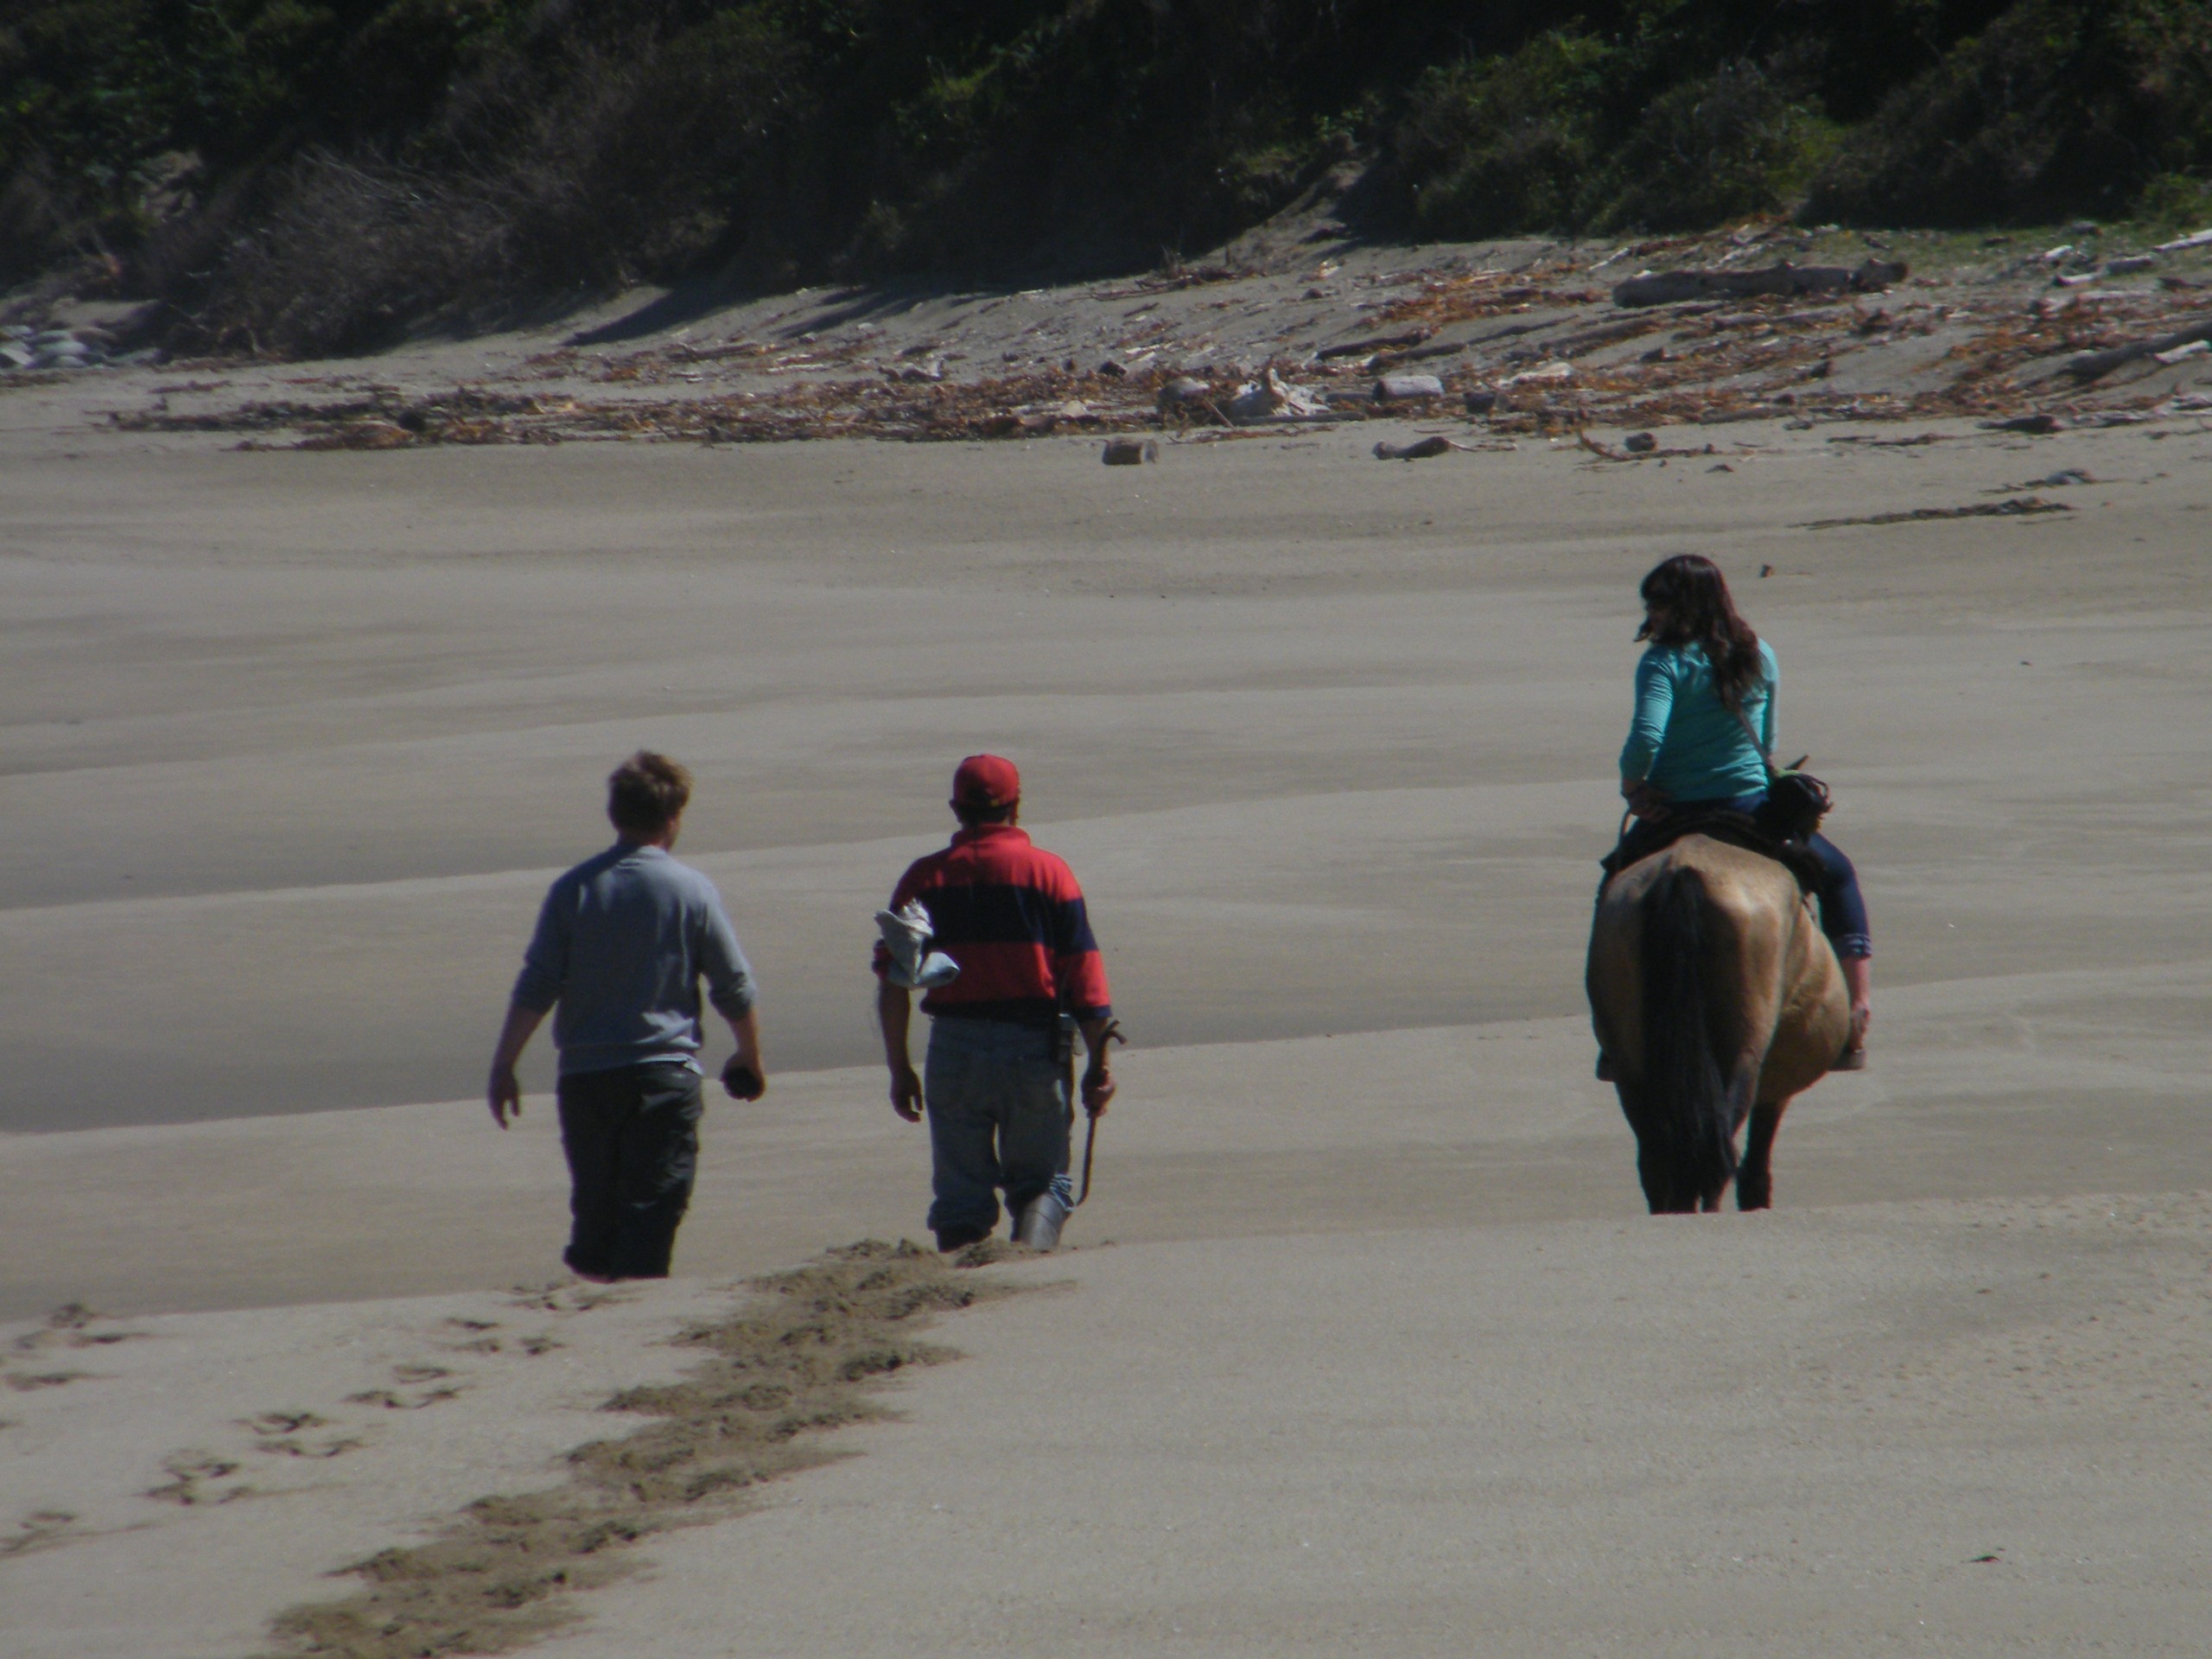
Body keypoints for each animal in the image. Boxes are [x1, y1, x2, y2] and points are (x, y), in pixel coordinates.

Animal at [1592, 836, 1849, 1211]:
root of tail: (1684, 870)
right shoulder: (1775, 1087)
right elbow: (1756, 1166)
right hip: (1743, 1055)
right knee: (1718, 1144)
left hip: (1632, 1067)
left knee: (1658, 1157)